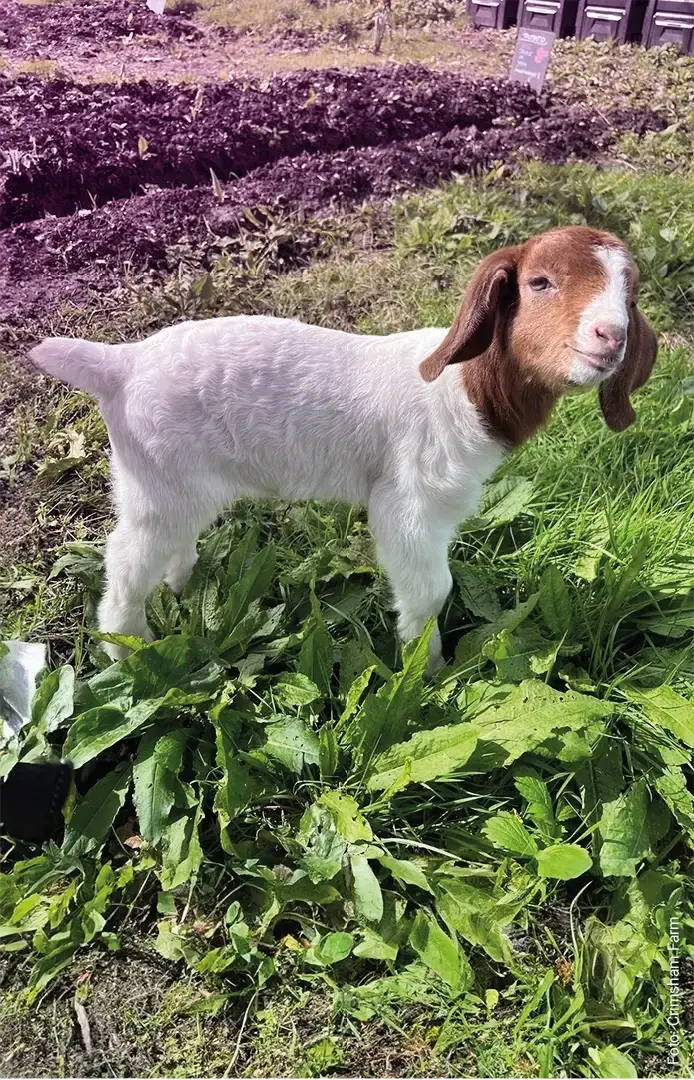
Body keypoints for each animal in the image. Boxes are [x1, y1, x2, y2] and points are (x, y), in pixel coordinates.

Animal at [31, 226, 658, 670]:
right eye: (539, 283)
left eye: (630, 293)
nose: (611, 337)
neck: (463, 388)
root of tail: (121, 363)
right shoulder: (407, 505)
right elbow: (430, 592)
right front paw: (425, 670)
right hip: (157, 480)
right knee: (125, 561)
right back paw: (130, 651)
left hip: (172, 485)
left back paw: (184, 587)